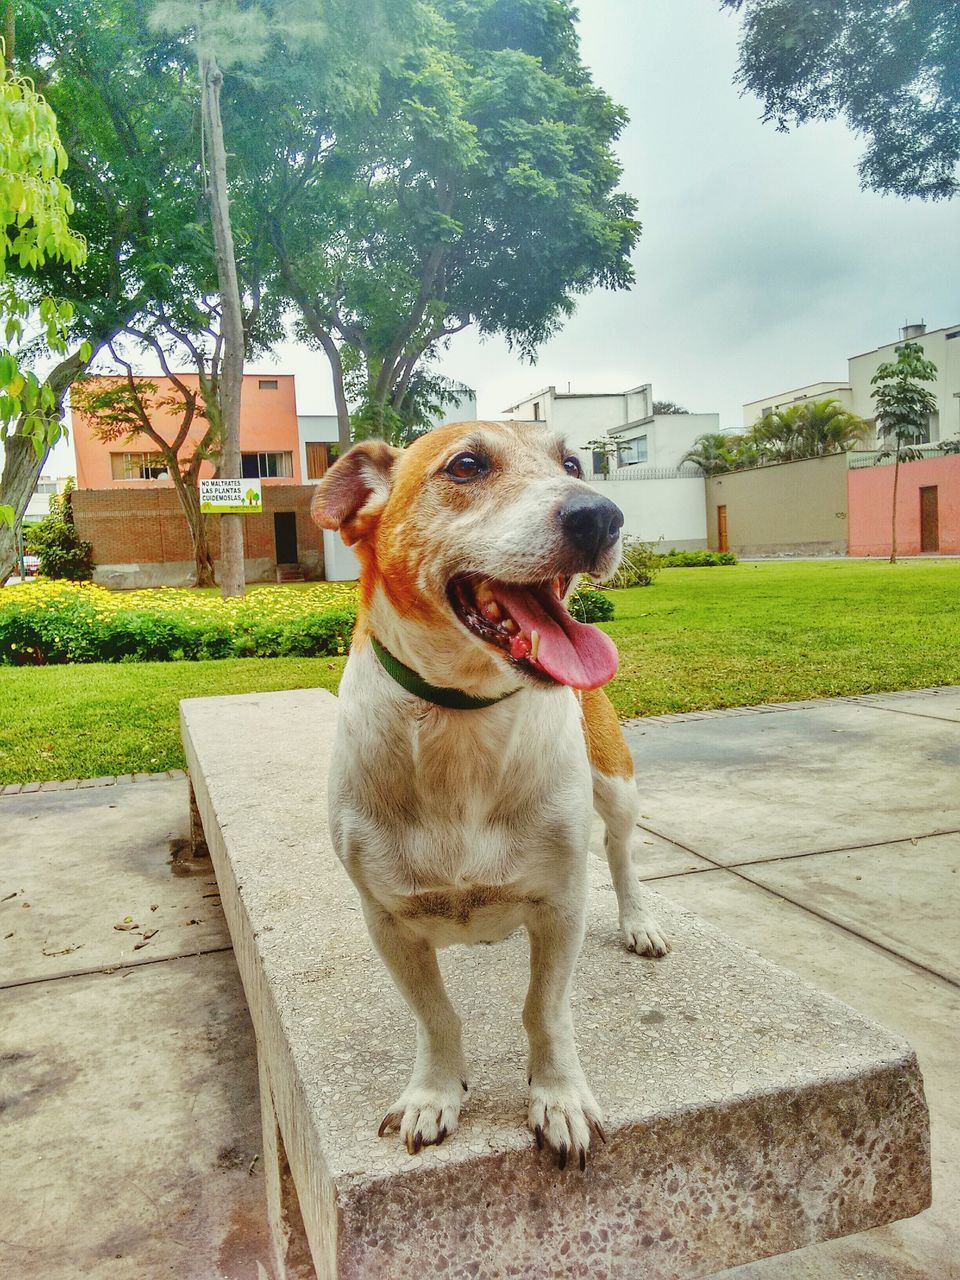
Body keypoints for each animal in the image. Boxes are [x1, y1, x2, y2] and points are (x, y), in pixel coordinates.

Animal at [316, 417, 670, 1172]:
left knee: (622, 852)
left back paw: (639, 922)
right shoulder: (387, 919)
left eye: (573, 463)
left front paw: (558, 1098)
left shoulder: (561, 903)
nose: (601, 515)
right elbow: (435, 1016)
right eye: (467, 466)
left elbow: (545, 1011)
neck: (463, 721)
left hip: (615, 781)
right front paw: (434, 1092)